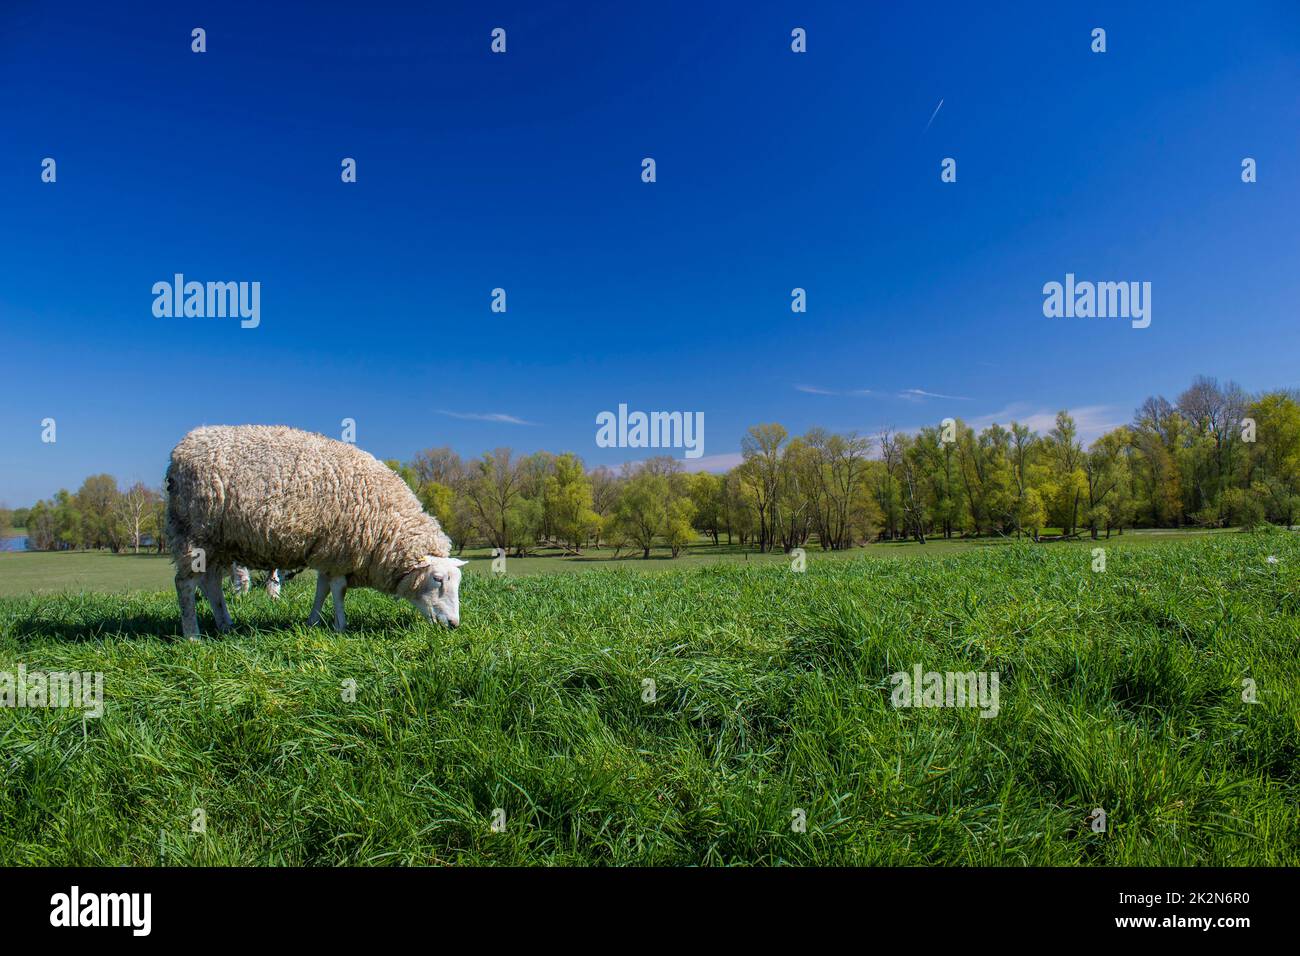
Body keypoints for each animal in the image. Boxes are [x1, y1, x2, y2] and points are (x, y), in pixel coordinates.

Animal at [166, 425, 466, 638]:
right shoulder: (341, 549)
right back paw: (193, 635)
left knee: (211, 584)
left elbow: (322, 588)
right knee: (185, 585)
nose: (454, 624)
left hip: (216, 542)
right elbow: (338, 590)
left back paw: (225, 625)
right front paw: (341, 626)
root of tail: (183, 447)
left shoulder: (329, 550)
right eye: (437, 579)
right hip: (193, 532)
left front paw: (312, 622)